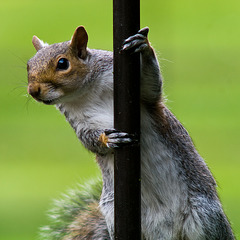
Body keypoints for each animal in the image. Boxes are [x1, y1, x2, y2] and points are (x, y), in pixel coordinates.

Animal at [27, 26, 235, 240]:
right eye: (28, 65)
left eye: (62, 63)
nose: (33, 90)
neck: (85, 92)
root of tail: (167, 232)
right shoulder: (79, 121)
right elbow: (89, 139)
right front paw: (107, 139)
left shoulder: (133, 89)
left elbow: (151, 89)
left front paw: (144, 46)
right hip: (113, 215)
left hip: (205, 217)